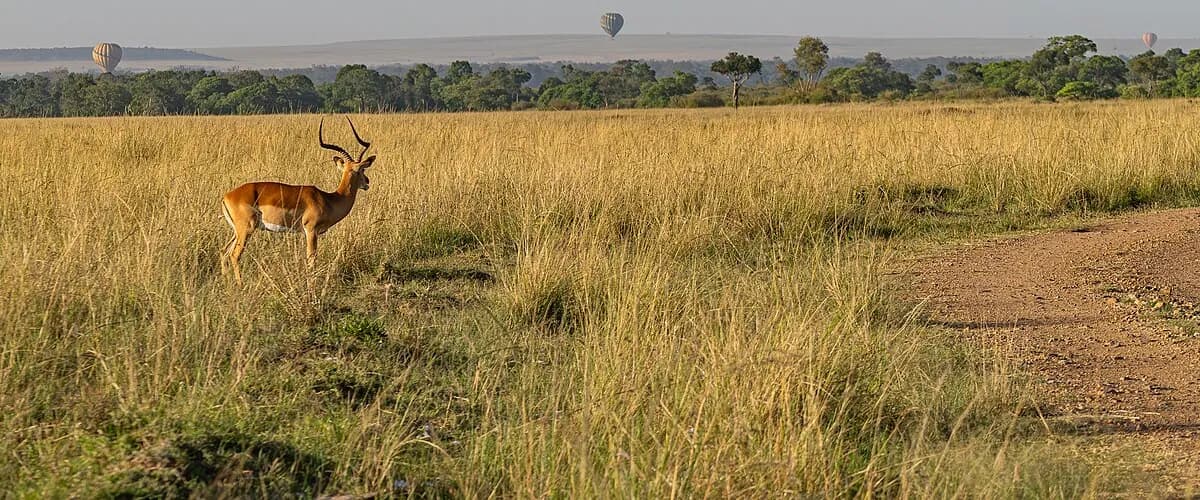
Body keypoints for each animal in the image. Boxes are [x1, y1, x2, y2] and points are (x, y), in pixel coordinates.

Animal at [220, 118, 376, 283]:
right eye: (362, 169)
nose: (367, 182)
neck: (328, 199)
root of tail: (227, 196)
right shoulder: (311, 230)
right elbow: (311, 260)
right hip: (246, 229)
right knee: (234, 255)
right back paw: (240, 284)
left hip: (237, 231)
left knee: (224, 252)